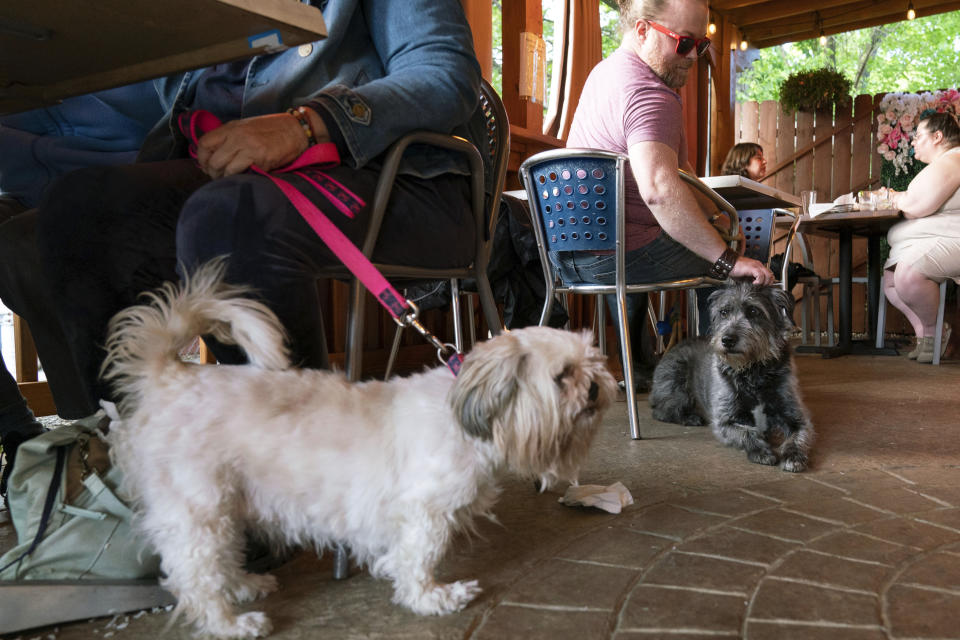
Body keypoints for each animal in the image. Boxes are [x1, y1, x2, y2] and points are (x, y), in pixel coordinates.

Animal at [103, 262, 616, 640]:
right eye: (562, 376)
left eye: (596, 363)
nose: (595, 388)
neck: (465, 417)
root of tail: (171, 374)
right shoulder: (422, 513)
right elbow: (418, 559)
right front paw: (433, 598)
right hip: (200, 509)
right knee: (196, 576)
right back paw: (229, 623)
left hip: (224, 507)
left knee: (220, 559)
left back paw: (246, 585)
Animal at [648, 282, 812, 472]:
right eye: (724, 312)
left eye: (754, 311)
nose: (727, 340)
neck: (752, 371)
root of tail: (672, 347)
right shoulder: (725, 420)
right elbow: (747, 432)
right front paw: (761, 451)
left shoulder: (797, 417)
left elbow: (799, 435)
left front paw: (794, 456)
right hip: (678, 389)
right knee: (661, 411)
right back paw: (690, 417)